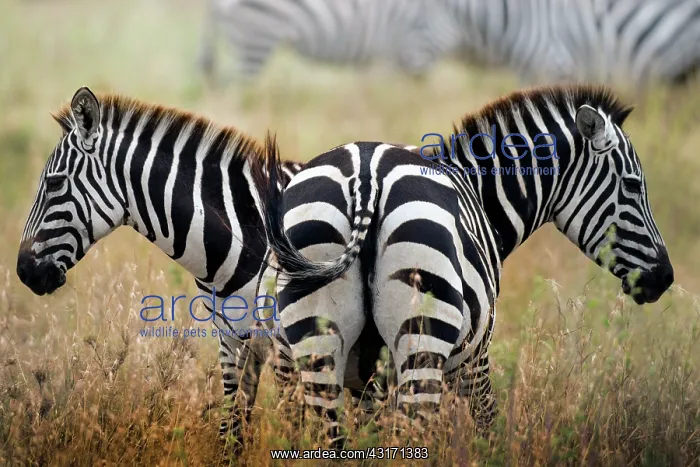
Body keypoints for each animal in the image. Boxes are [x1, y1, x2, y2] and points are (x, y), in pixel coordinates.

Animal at [257, 84, 674, 446]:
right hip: (423, 337)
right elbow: (487, 424)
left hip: (312, 345)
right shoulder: (475, 357)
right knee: (410, 434)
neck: (480, 193)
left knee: (328, 434)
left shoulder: (369, 381)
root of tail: (366, 178)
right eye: (633, 186)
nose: (665, 278)